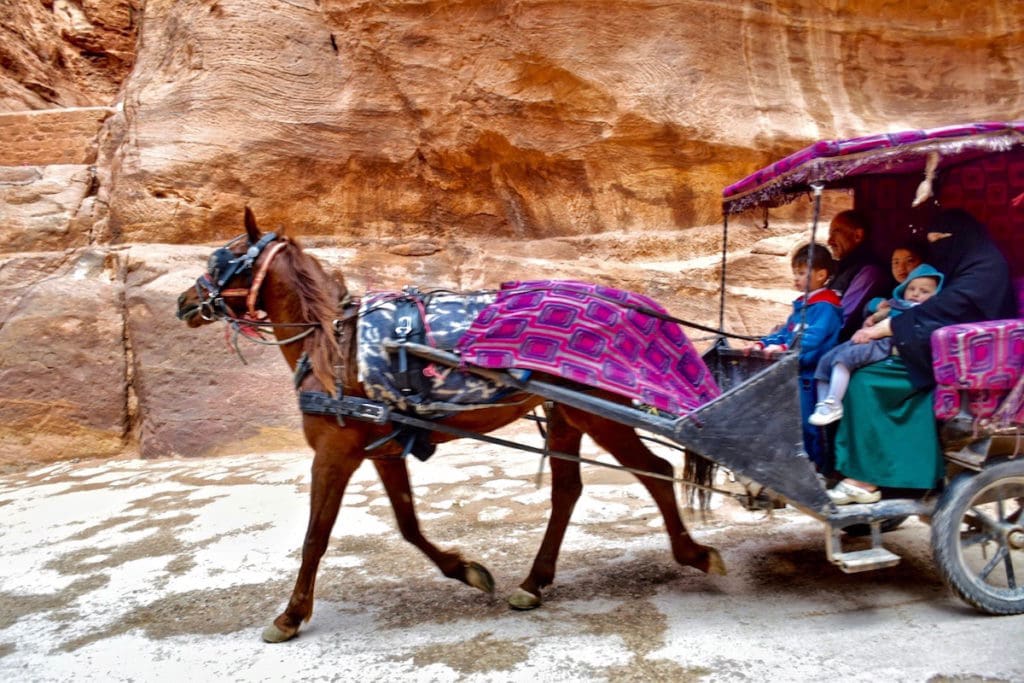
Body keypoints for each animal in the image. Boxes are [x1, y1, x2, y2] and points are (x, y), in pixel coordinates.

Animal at [176, 206, 724, 643]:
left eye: (220, 260)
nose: (185, 302)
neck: (334, 345)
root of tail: (634, 305)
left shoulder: (335, 451)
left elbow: (316, 535)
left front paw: (290, 616)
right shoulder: (383, 448)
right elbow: (407, 524)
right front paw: (467, 570)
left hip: (597, 412)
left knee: (655, 472)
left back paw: (695, 554)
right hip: (569, 414)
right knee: (568, 490)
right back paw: (533, 583)